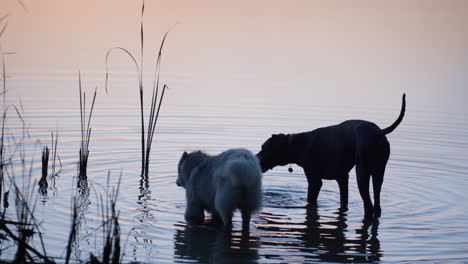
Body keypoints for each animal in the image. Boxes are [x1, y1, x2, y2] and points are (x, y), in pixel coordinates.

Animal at [256, 93, 406, 219]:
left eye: (263, 148)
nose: (255, 159)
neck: (297, 144)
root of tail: (379, 132)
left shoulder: (315, 181)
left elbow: (311, 198)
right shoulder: (342, 178)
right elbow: (343, 200)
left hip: (362, 173)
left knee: (368, 204)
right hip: (378, 172)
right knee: (377, 201)